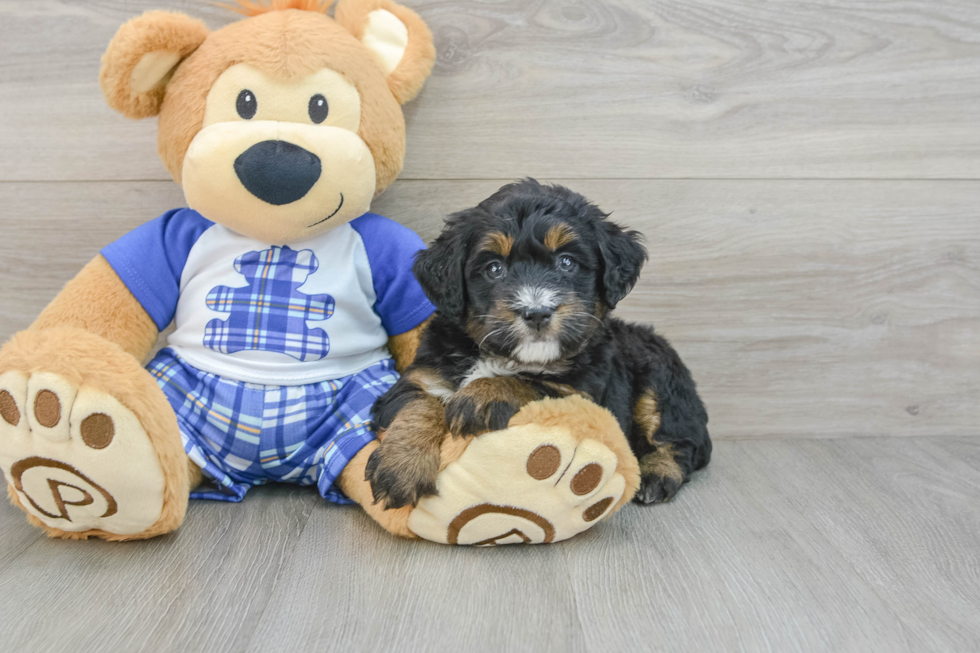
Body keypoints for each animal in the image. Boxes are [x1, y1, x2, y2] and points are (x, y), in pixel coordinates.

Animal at [364, 178, 708, 510]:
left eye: (566, 263)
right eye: (494, 268)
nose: (538, 312)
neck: (502, 356)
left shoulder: (582, 394)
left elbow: (533, 383)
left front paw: (483, 394)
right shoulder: (422, 375)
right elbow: (417, 404)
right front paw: (402, 466)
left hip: (660, 376)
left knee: (679, 440)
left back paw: (657, 475)